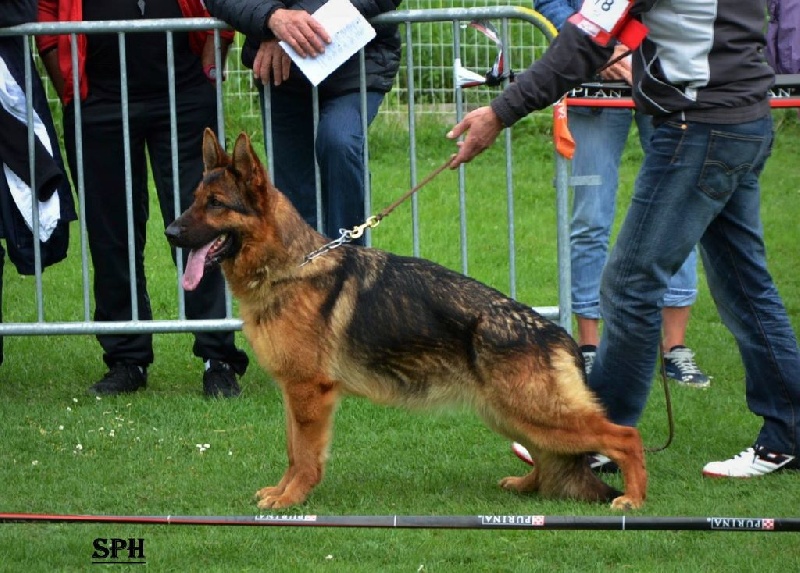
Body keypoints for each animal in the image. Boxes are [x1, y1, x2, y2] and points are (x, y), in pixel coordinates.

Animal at [166, 130, 648, 510]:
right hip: (508, 413)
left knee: (625, 436)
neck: (288, 266)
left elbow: (304, 456)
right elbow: (291, 451)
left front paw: (292, 499)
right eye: (194, 201)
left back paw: (634, 497)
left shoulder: (309, 394)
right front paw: (282, 492)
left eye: (215, 205)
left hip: (534, 411)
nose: (169, 233)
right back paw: (529, 484)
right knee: (547, 456)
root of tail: (557, 334)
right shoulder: (294, 393)